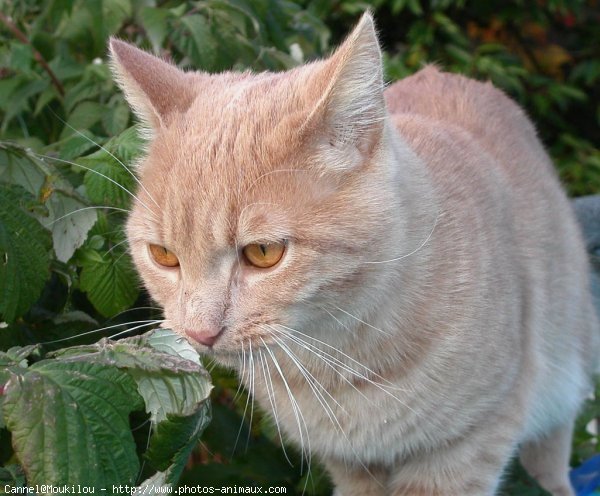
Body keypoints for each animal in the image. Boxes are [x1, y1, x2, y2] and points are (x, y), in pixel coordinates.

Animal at [109, 11, 600, 496]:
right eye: (163, 255)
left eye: (264, 253)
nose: (199, 332)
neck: (339, 360)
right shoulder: (351, 463)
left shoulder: (464, 448)